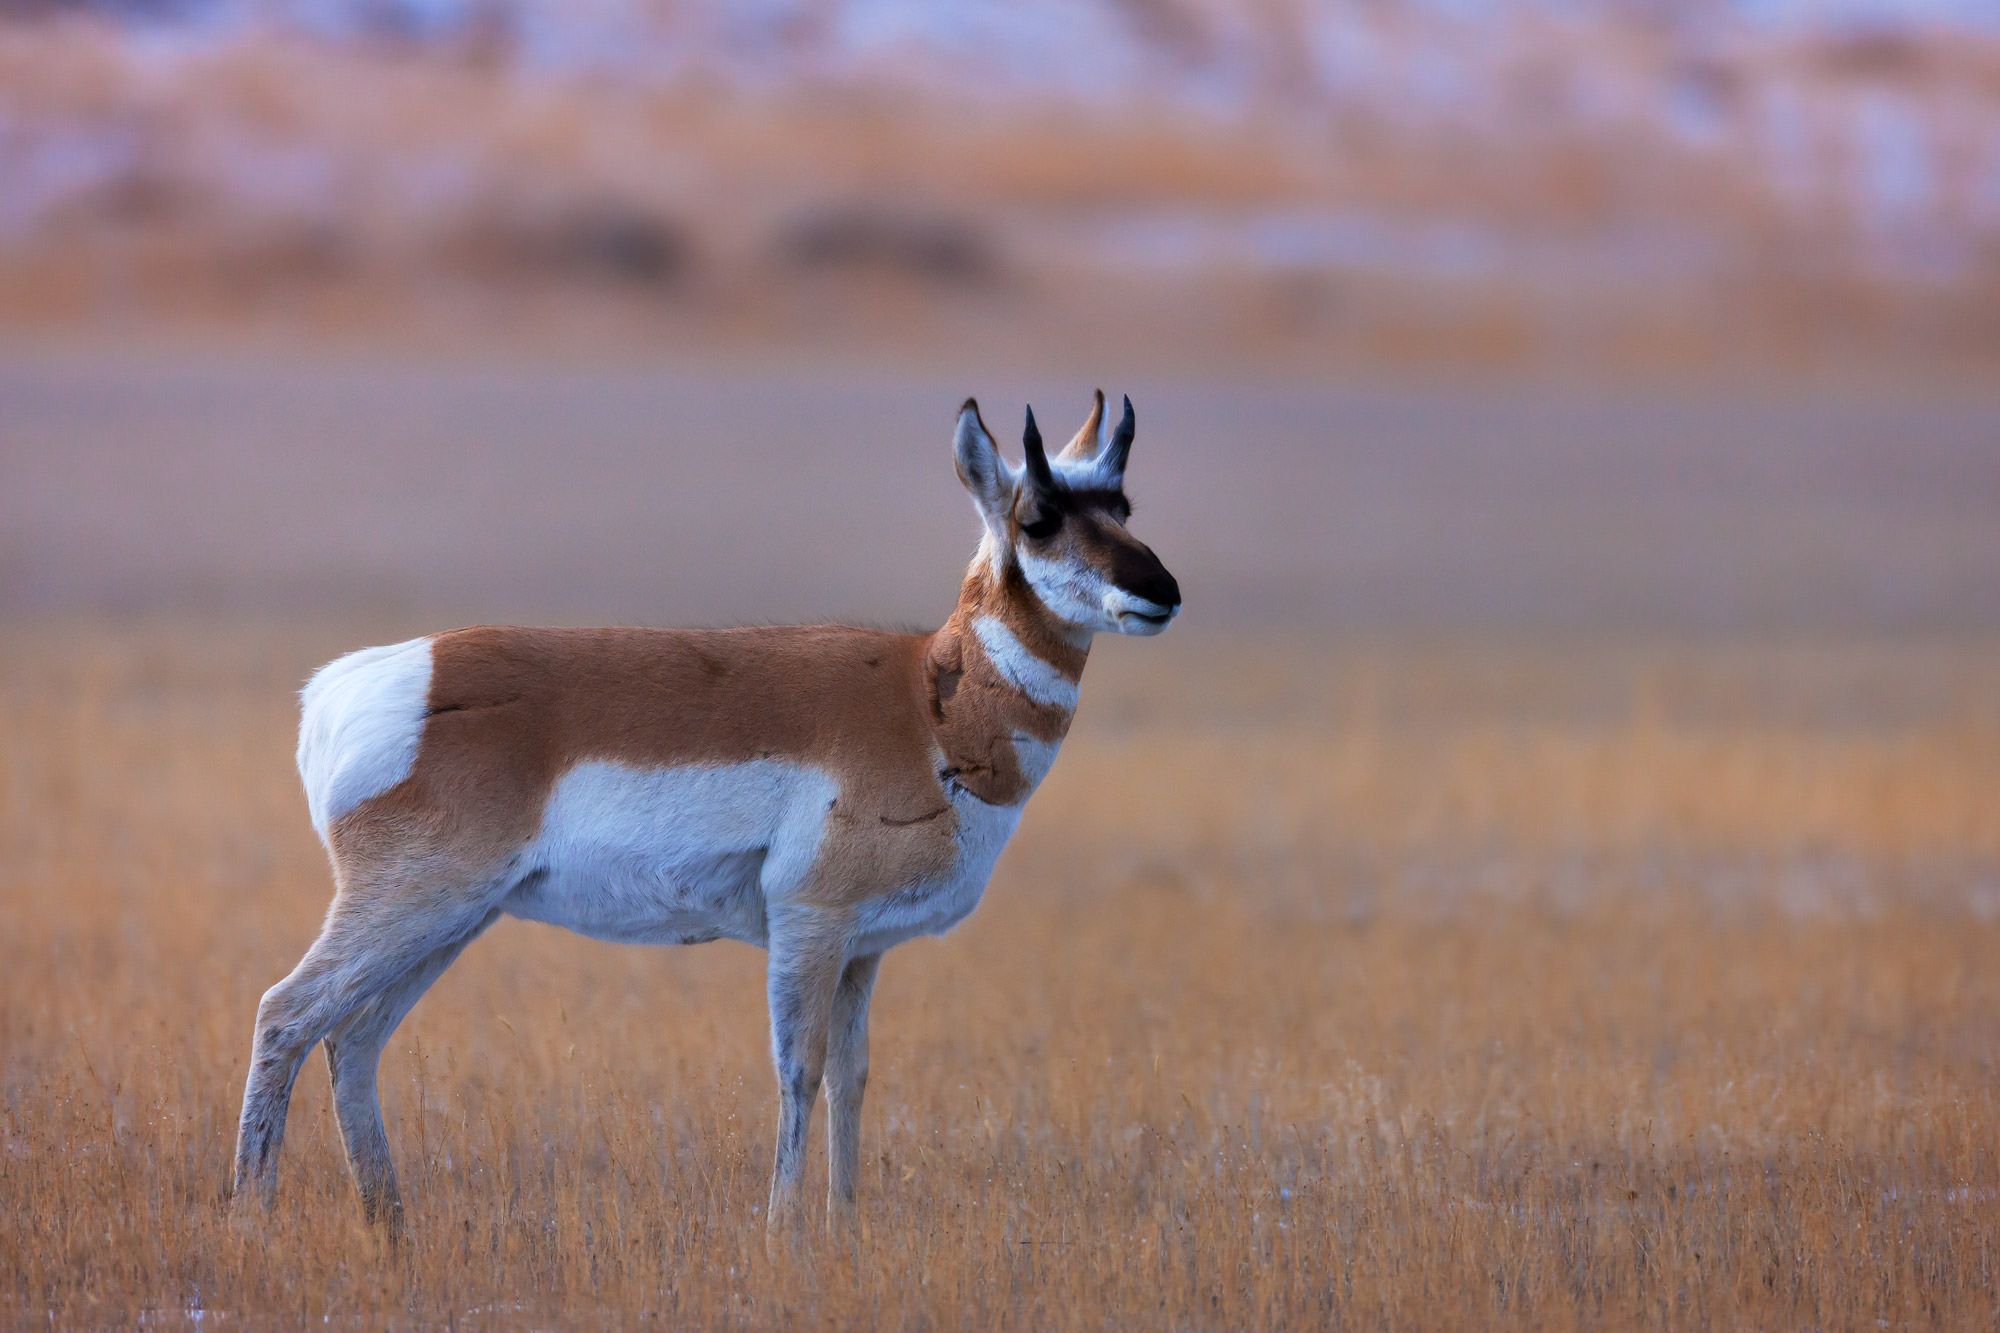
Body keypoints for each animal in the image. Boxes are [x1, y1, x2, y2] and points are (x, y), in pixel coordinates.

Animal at [232, 392, 1181, 1236]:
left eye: (1123, 504)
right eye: (1040, 515)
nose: (1161, 588)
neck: (930, 698)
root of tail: (352, 685)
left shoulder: (864, 948)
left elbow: (854, 1076)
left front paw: (846, 1230)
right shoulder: (810, 922)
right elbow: (799, 1071)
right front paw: (784, 1235)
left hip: (451, 922)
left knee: (352, 1040)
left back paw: (390, 1225)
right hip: (411, 906)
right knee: (286, 1013)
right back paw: (253, 1223)